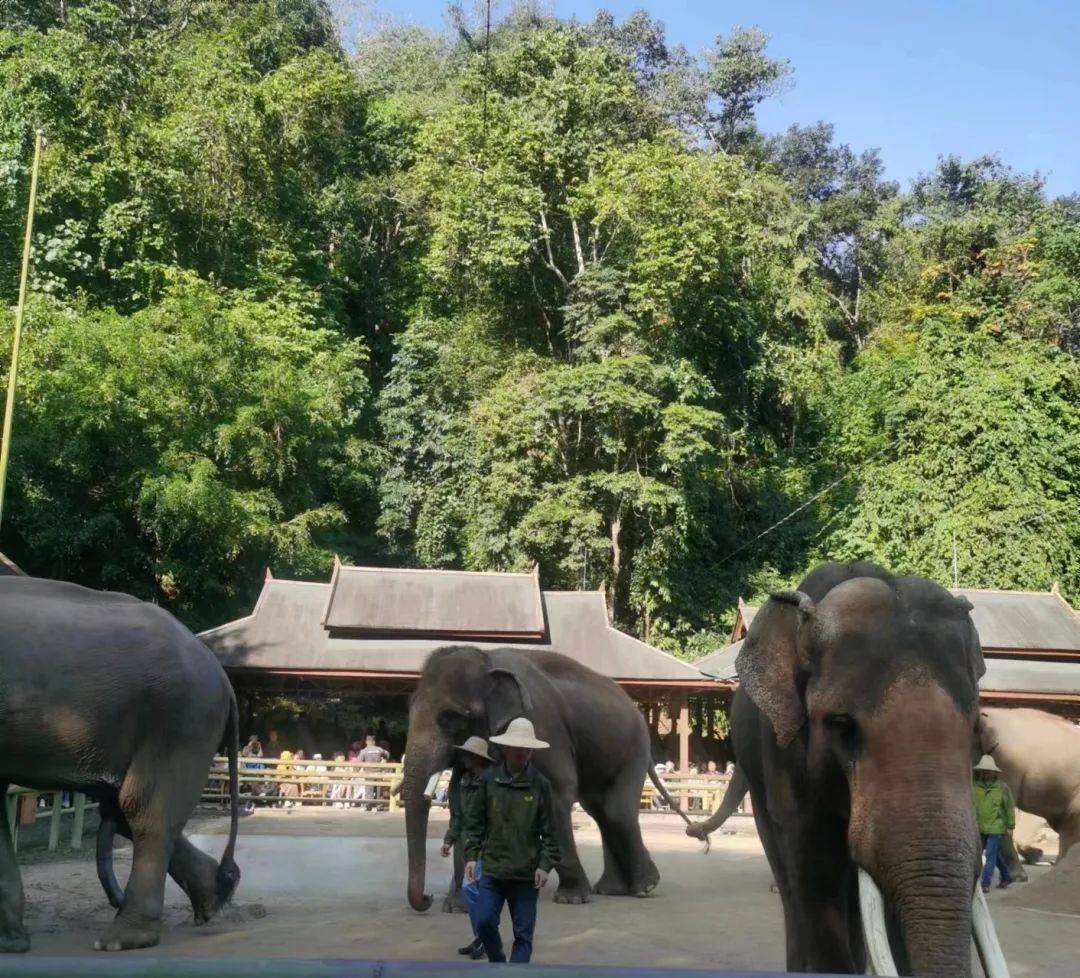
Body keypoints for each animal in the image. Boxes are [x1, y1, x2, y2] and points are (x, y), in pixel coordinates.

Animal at [0, 574, 240, 949]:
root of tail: (224, 680)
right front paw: (11, 942)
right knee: (132, 809)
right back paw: (212, 899)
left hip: (180, 720)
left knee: (142, 809)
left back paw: (119, 940)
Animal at [401, 639, 686, 906]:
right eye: (409, 710)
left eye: (452, 718)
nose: (427, 898)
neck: (487, 659)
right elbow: (464, 804)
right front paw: (458, 904)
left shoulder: (541, 727)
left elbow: (558, 792)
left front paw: (571, 898)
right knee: (601, 810)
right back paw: (613, 890)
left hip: (632, 749)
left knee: (616, 812)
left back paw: (644, 887)